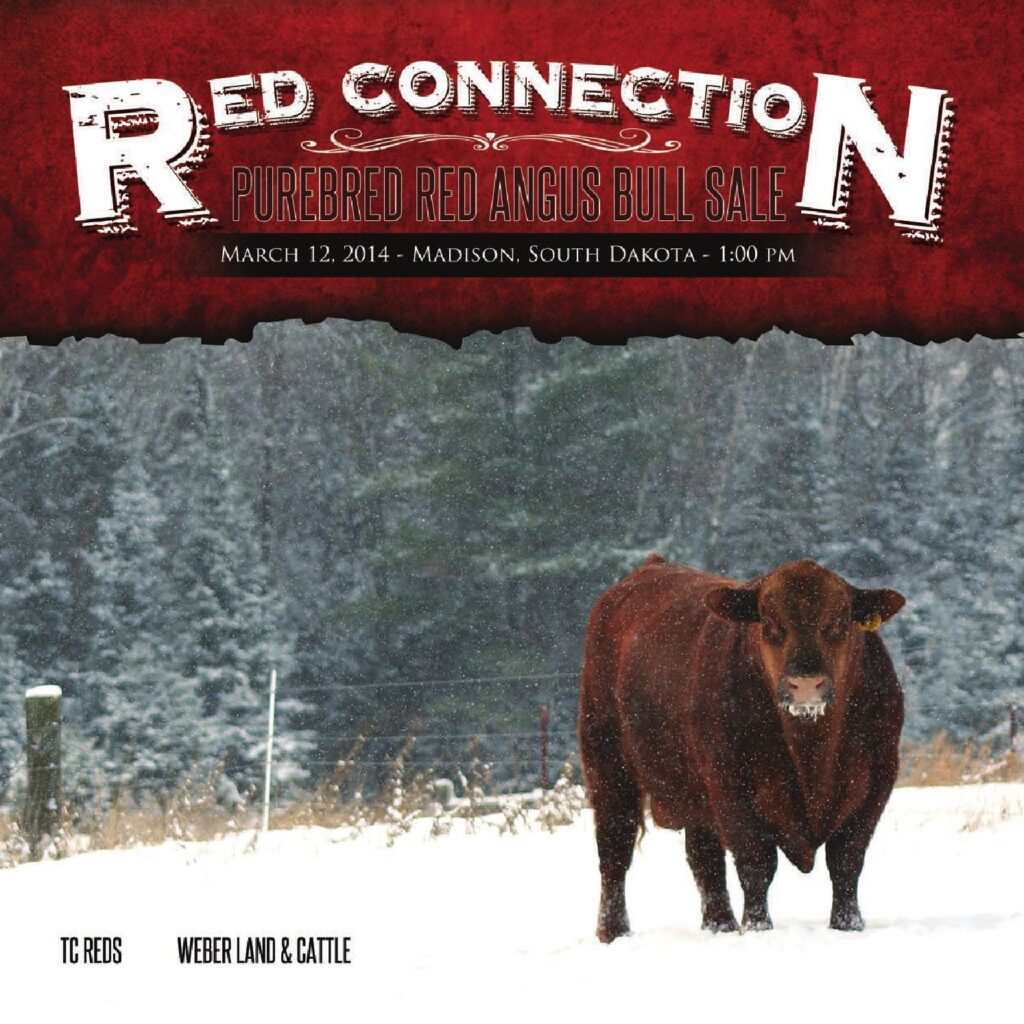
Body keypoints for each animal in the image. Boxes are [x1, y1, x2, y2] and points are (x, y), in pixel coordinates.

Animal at [578, 555, 905, 943]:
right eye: (769, 622)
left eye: (840, 621)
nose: (805, 684)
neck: (811, 754)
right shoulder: (731, 787)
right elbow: (756, 862)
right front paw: (758, 927)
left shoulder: (877, 783)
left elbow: (846, 860)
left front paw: (848, 925)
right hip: (607, 764)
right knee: (615, 850)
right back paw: (613, 931)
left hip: (695, 793)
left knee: (704, 858)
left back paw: (719, 924)